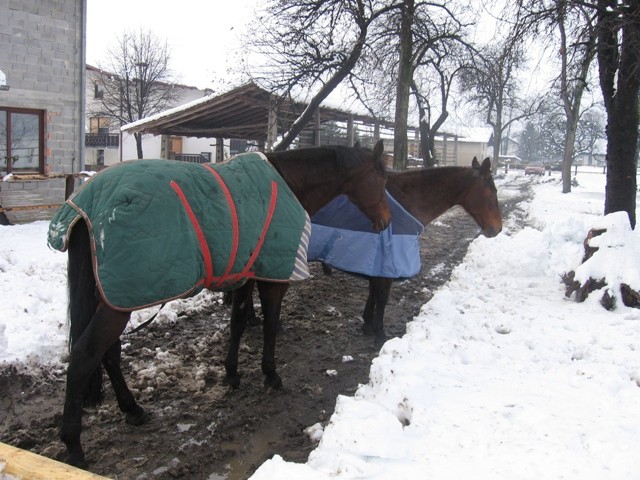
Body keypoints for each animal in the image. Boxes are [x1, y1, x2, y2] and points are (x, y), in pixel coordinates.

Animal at [53, 140, 390, 468]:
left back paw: (132, 409)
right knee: (84, 356)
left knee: (108, 354)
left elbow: (237, 323)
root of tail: (86, 210)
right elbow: (270, 326)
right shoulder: (273, 279)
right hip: (118, 303)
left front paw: (232, 373)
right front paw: (270, 375)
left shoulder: (246, 275)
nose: (386, 222)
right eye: (382, 178)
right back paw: (74, 446)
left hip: (113, 300)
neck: (290, 182)